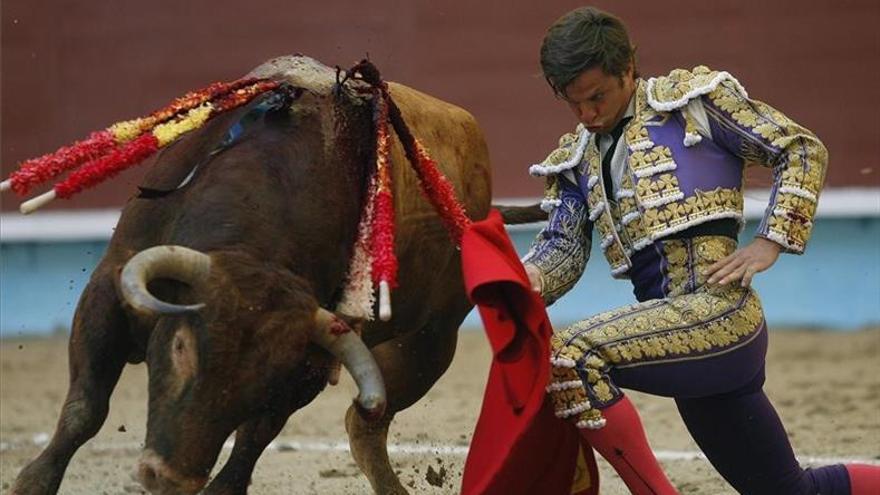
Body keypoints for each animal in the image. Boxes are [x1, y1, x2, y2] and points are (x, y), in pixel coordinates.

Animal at [10, 55, 496, 495]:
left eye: (261, 382)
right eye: (181, 347)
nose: (168, 479)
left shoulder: (310, 357)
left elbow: (255, 434)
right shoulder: (108, 287)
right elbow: (85, 409)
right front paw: (31, 483)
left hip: (429, 344)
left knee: (360, 425)